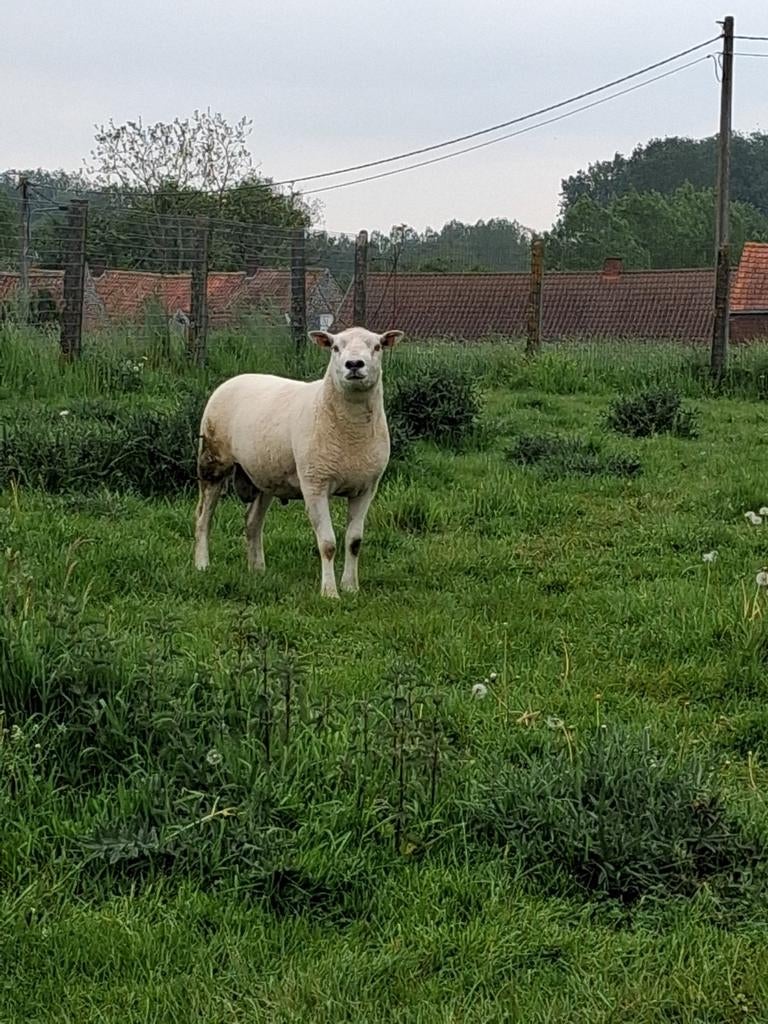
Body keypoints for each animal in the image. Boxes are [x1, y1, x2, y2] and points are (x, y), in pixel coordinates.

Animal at [194, 326, 404, 597]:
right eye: (335, 347)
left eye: (377, 347)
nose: (354, 365)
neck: (351, 433)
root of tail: (234, 379)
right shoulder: (315, 483)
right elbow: (327, 543)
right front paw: (329, 593)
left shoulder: (366, 488)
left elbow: (354, 542)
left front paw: (350, 587)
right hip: (213, 461)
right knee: (203, 517)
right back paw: (202, 565)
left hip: (265, 474)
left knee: (252, 522)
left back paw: (257, 569)